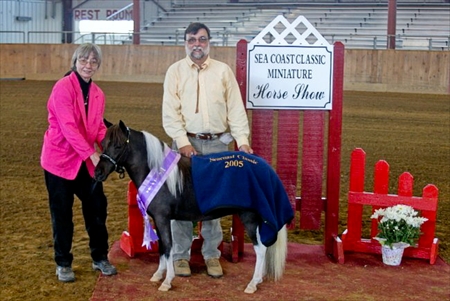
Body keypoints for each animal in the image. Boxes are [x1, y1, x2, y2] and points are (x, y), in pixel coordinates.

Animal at [93, 120, 294, 292]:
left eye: (118, 145)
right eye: (103, 142)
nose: (98, 173)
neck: (158, 173)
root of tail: (265, 168)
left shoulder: (163, 218)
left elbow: (168, 246)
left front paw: (167, 282)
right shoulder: (158, 220)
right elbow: (162, 247)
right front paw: (158, 275)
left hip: (249, 217)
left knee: (260, 248)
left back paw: (252, 284)